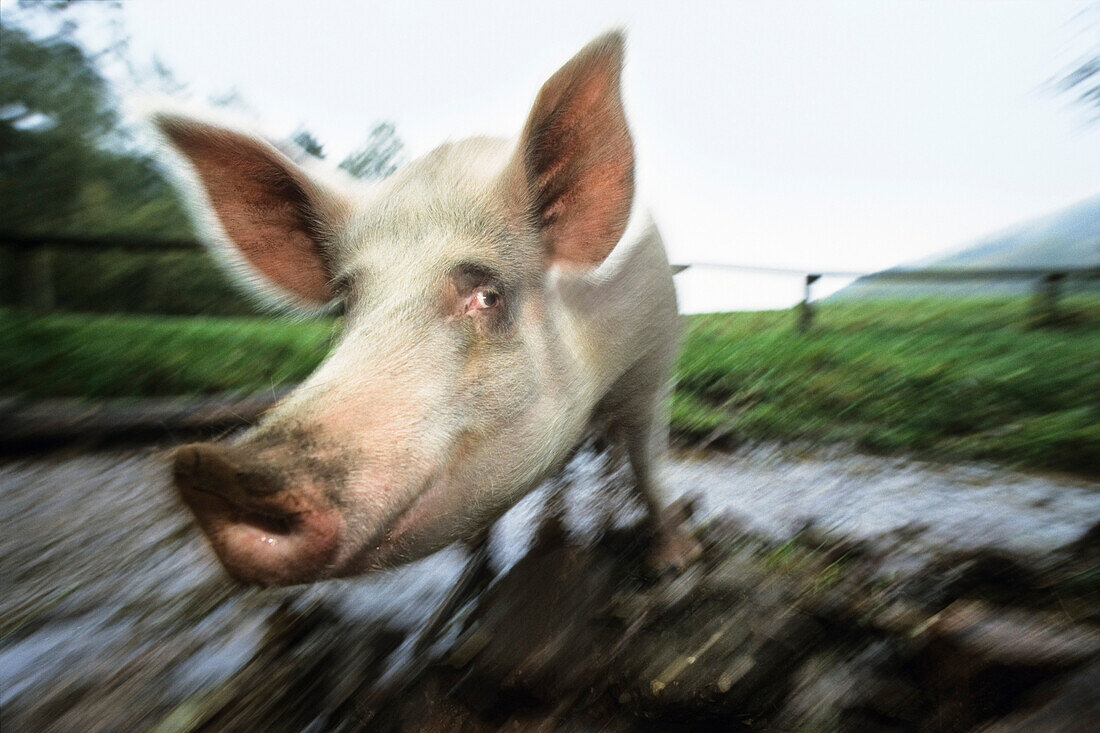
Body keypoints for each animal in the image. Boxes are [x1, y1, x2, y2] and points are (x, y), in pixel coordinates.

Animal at [155, 31, 695, 585]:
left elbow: (650, 466)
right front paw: (475, 564)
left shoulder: (655, 355)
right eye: (346, 304)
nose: (213, 471)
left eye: (487, 295)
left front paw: (670, 565)